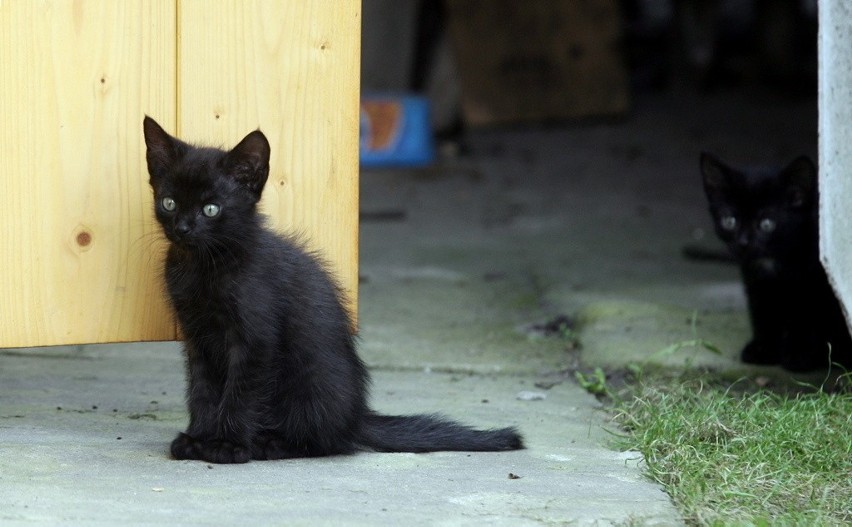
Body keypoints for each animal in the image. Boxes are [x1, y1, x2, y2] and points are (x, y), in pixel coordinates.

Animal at [143, 117, 524, 464]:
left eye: (211, 209)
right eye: (169, 203)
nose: (183, 228)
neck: (204, 265)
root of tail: (356, 417)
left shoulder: (256, 339)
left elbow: (241, 392)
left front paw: (226, 444)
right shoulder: (197, 337)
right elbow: (203, 390)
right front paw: (198, 438)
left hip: (313, 381)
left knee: (326, 441)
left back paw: (270, 443)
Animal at [704, 153, 848, 374]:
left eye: (766, 223)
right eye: (730, 221)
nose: (743, 242)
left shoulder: (817, 285)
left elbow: (807, 316)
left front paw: (800, 354)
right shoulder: (756, 282)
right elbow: (762, 313)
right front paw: (763, 348)